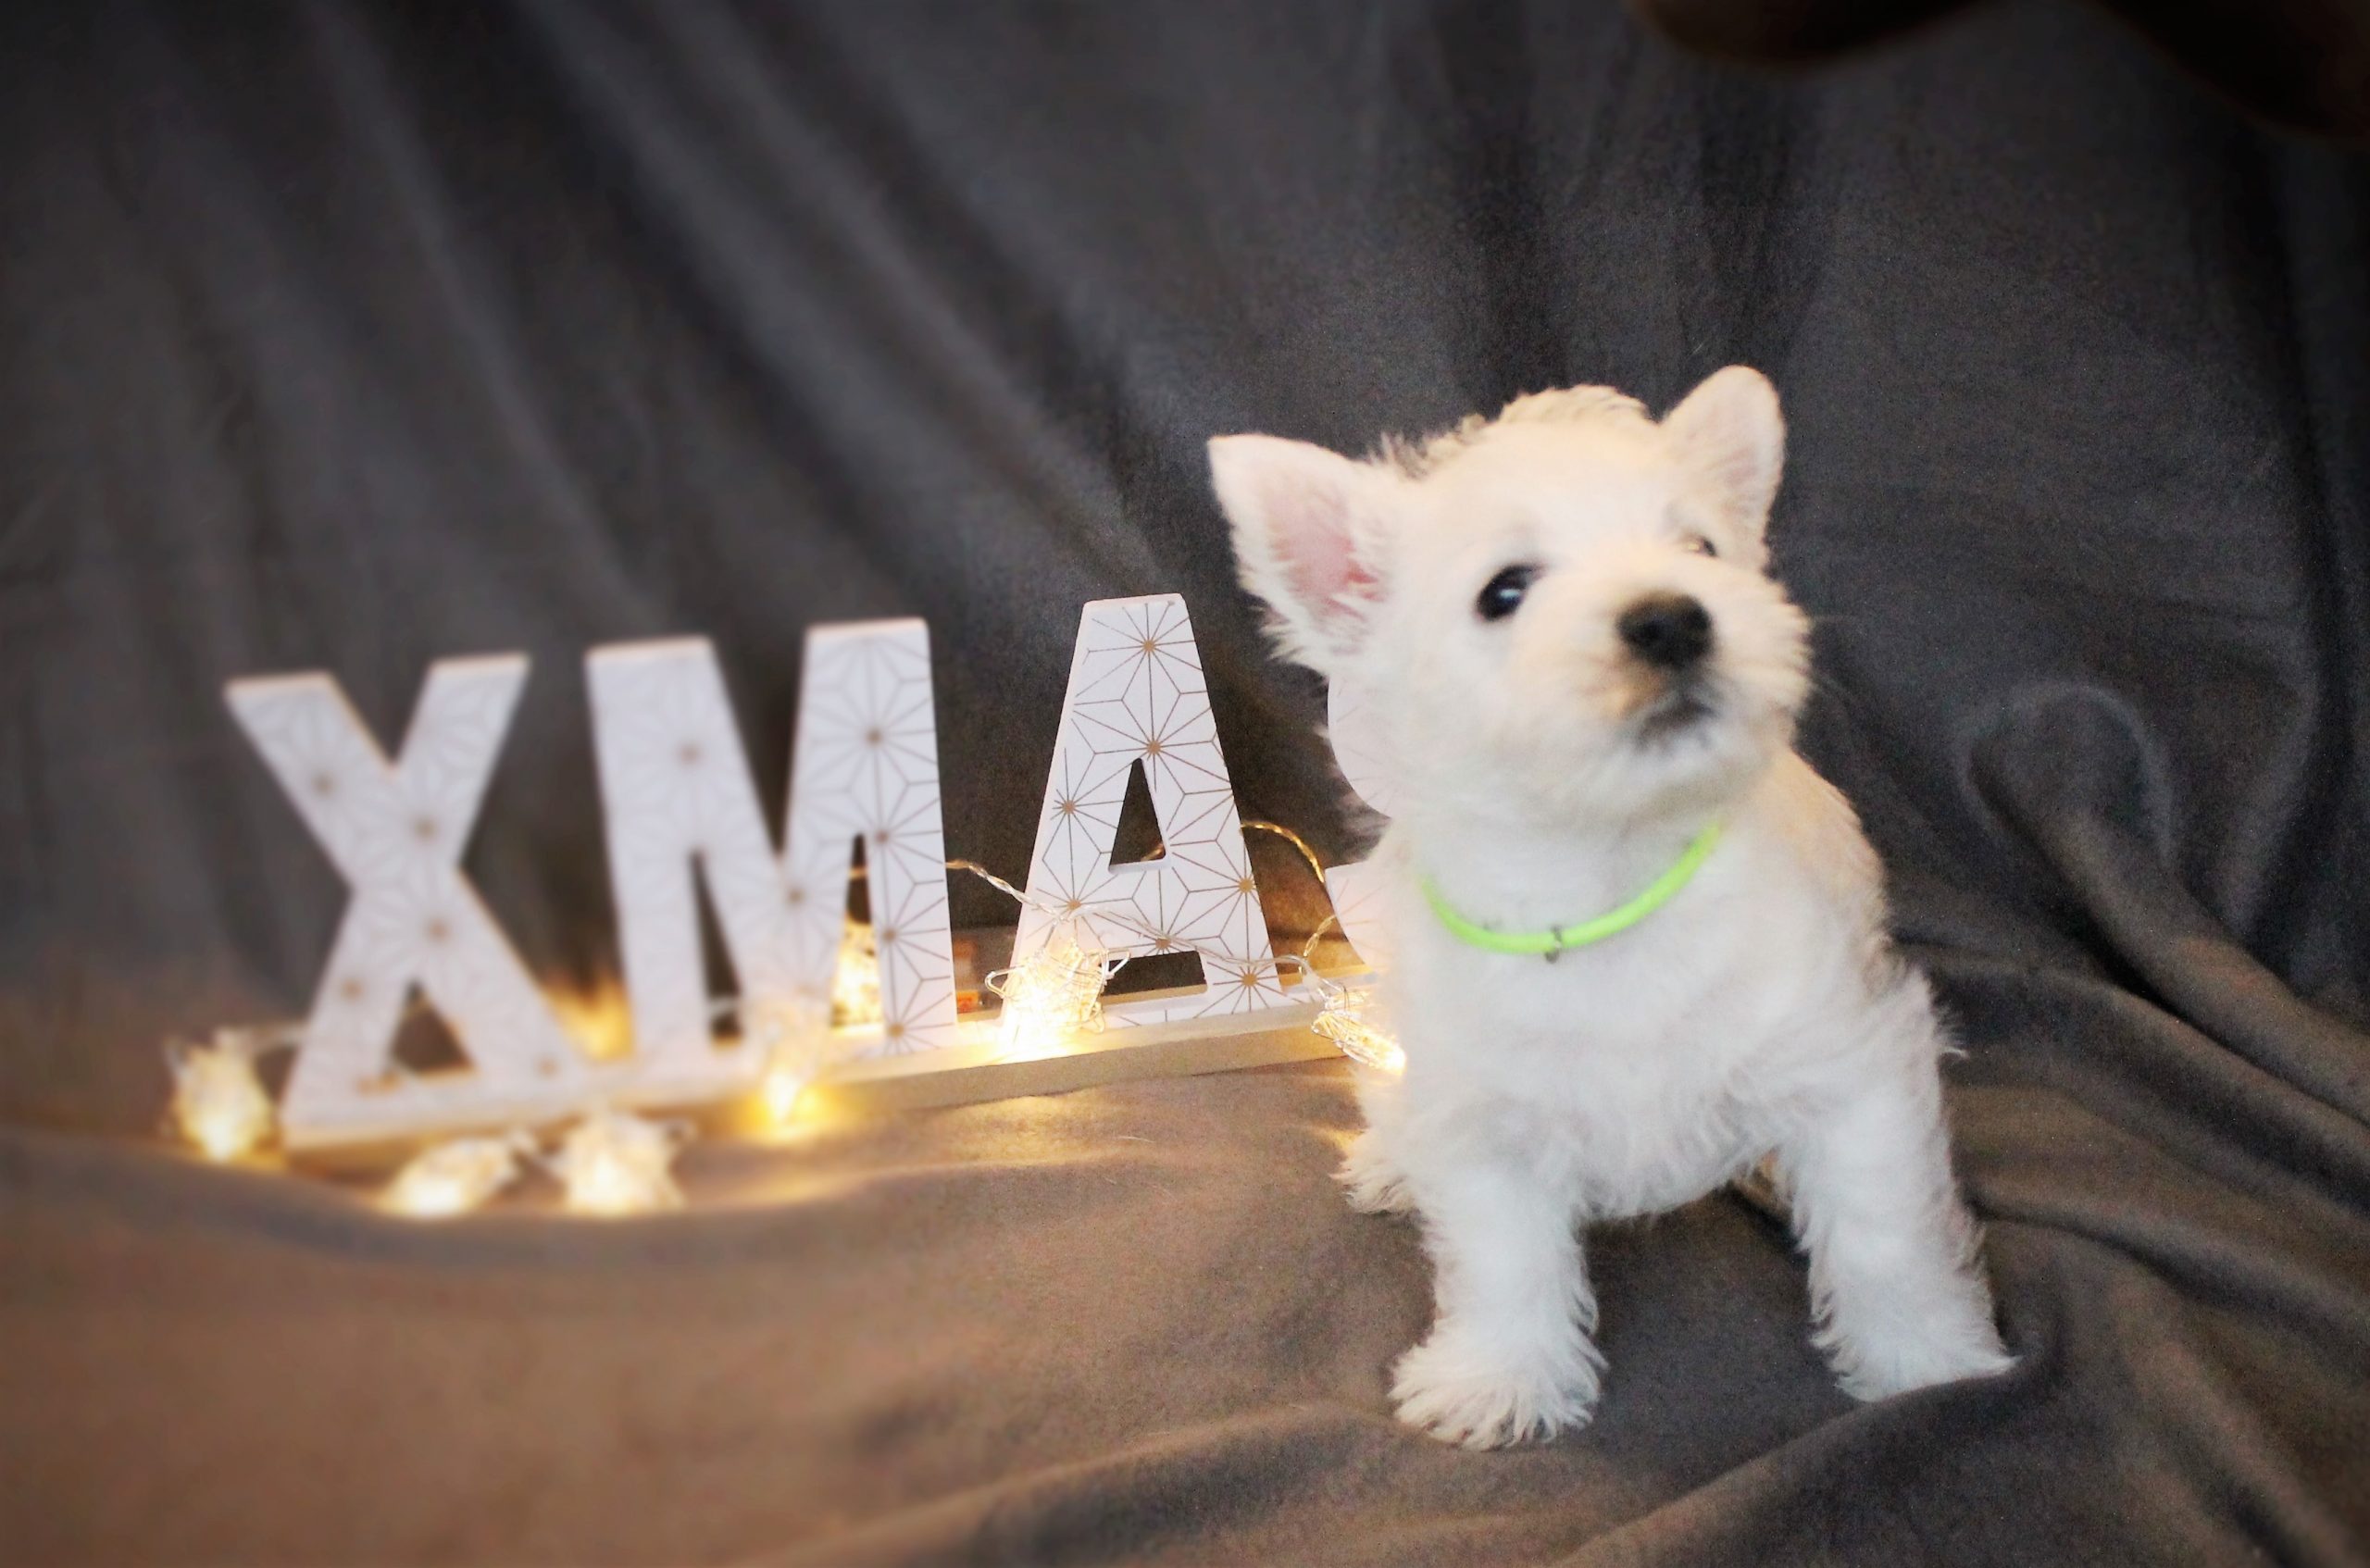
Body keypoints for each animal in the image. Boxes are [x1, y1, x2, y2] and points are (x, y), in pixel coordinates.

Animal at [1209, 367, 2013, 1447]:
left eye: (1701, 549)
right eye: (1505, 591)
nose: (1672, 618)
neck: (1605, 880)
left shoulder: (1851, 1070)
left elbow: (1887, 1234)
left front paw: (1929, 1361)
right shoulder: (1485, 1116)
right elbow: (1503, 1260)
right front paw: (1497, 1379)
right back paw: (1392, 1162)